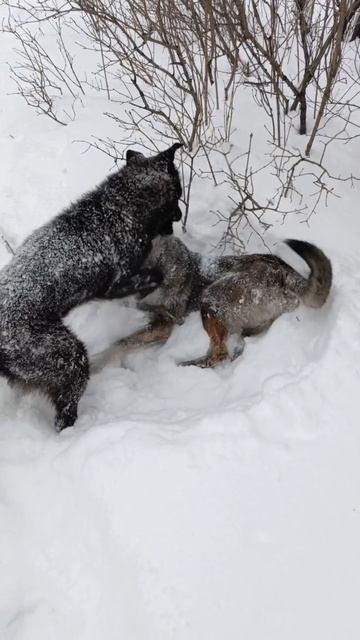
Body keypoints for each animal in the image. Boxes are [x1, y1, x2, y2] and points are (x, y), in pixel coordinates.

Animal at [0, 142, 183, 428]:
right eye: (179, 194)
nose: (181, 215)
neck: (121, 207)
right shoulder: (116, 284)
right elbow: (154, 277)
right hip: (70, 358)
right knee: (65, 410)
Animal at [93, 232, 332, 368]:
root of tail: (285, 272)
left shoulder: (162, 325)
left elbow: (119, 343)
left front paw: (98, 362)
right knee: (228, 348)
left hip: (211, 299)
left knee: (219, 355)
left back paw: (182, 365)